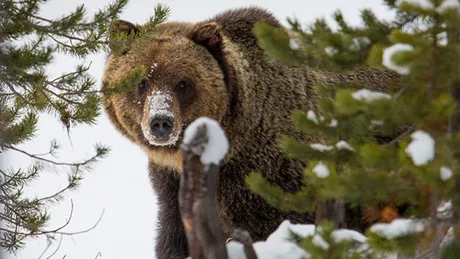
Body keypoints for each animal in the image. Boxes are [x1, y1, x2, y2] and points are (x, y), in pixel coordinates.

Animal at [100, 6, 398, 259]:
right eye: (141, 82)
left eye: (182, 83)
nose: (160, 121)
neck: (224, 143)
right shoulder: (171, 183)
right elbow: (173, 234)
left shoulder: (266, 175)